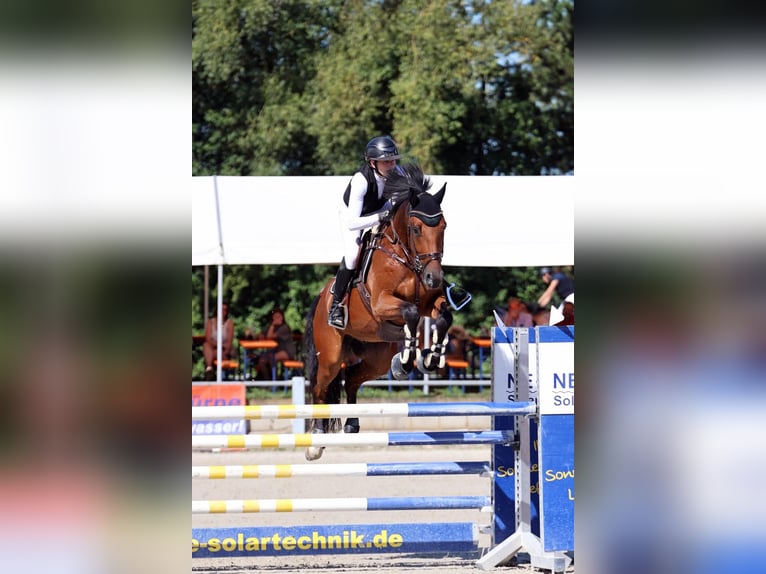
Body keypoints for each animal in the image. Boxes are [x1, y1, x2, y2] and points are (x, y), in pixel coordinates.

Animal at [303, 164, 452, 460]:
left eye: (443, 226)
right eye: (416, 228)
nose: (434, 278)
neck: (406, 258)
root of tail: (321, 298)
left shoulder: (430, 302)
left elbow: (444, 316)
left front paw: (430, 358)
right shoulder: (382, 303)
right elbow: (411, 313)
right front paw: (408, 359)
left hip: (376, 356)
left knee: (351, 379)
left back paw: (351, 424)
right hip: (331, 356)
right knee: (320, 387)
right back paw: (316, 440)